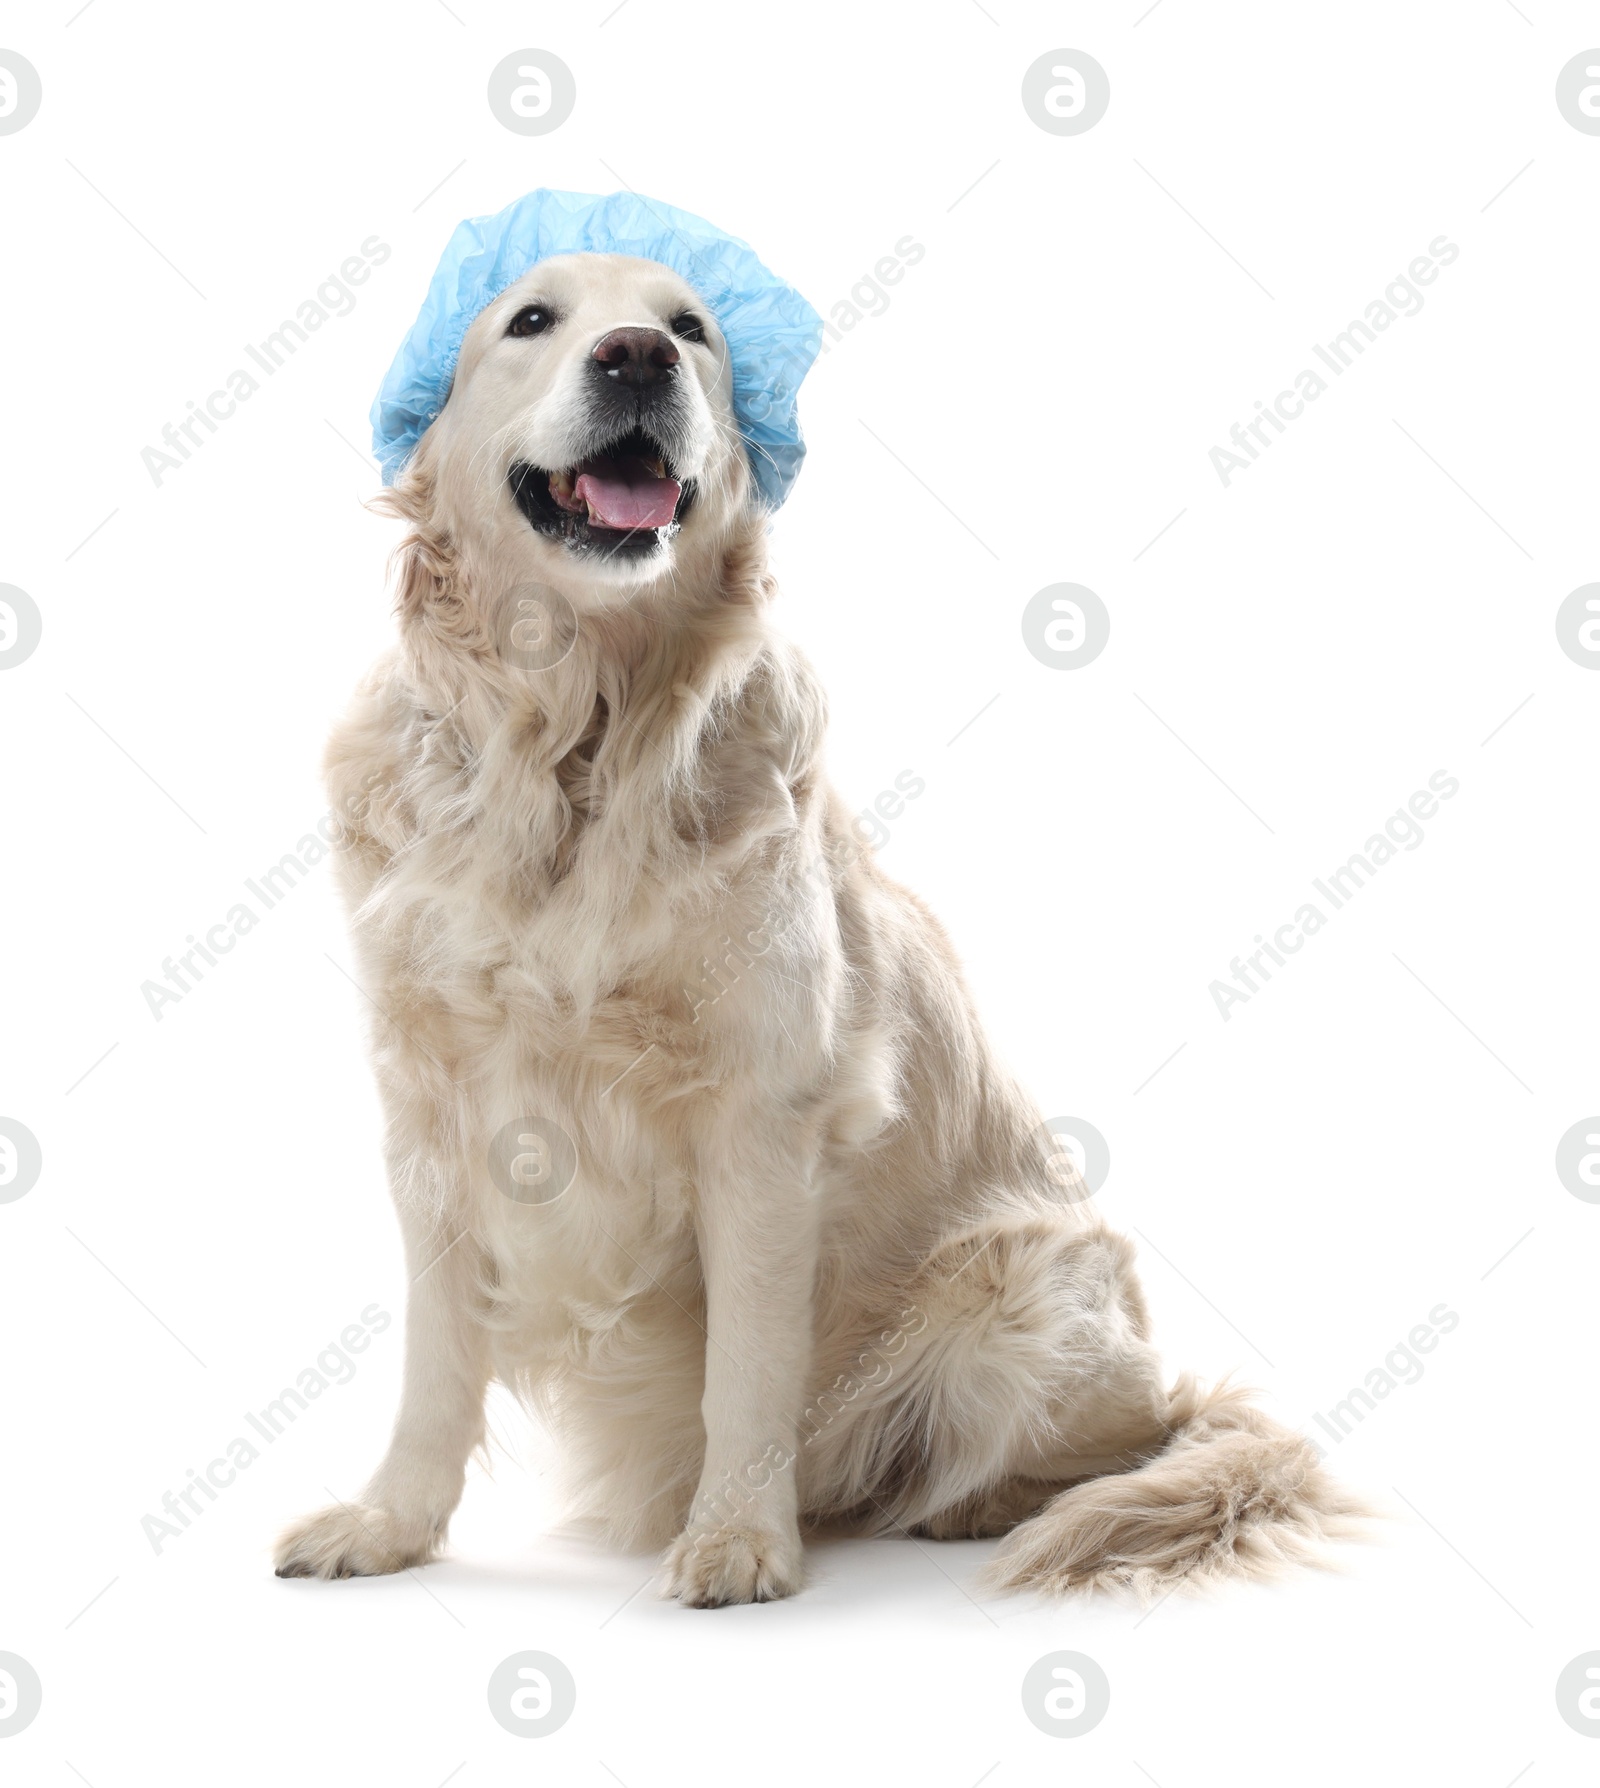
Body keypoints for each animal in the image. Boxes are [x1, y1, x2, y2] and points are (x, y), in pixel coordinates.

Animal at [275, 244, 1365, 1602]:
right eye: (529, 320)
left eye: (691, 329)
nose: (636, 357)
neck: (577, 739)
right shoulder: (432, 1108)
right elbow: (434, 1360)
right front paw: (389, 1526)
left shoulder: (761, 1116)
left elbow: (745, 1372)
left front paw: (739, 1538)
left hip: (1028, 1278)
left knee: (1092, 1453)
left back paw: (969, 1506)